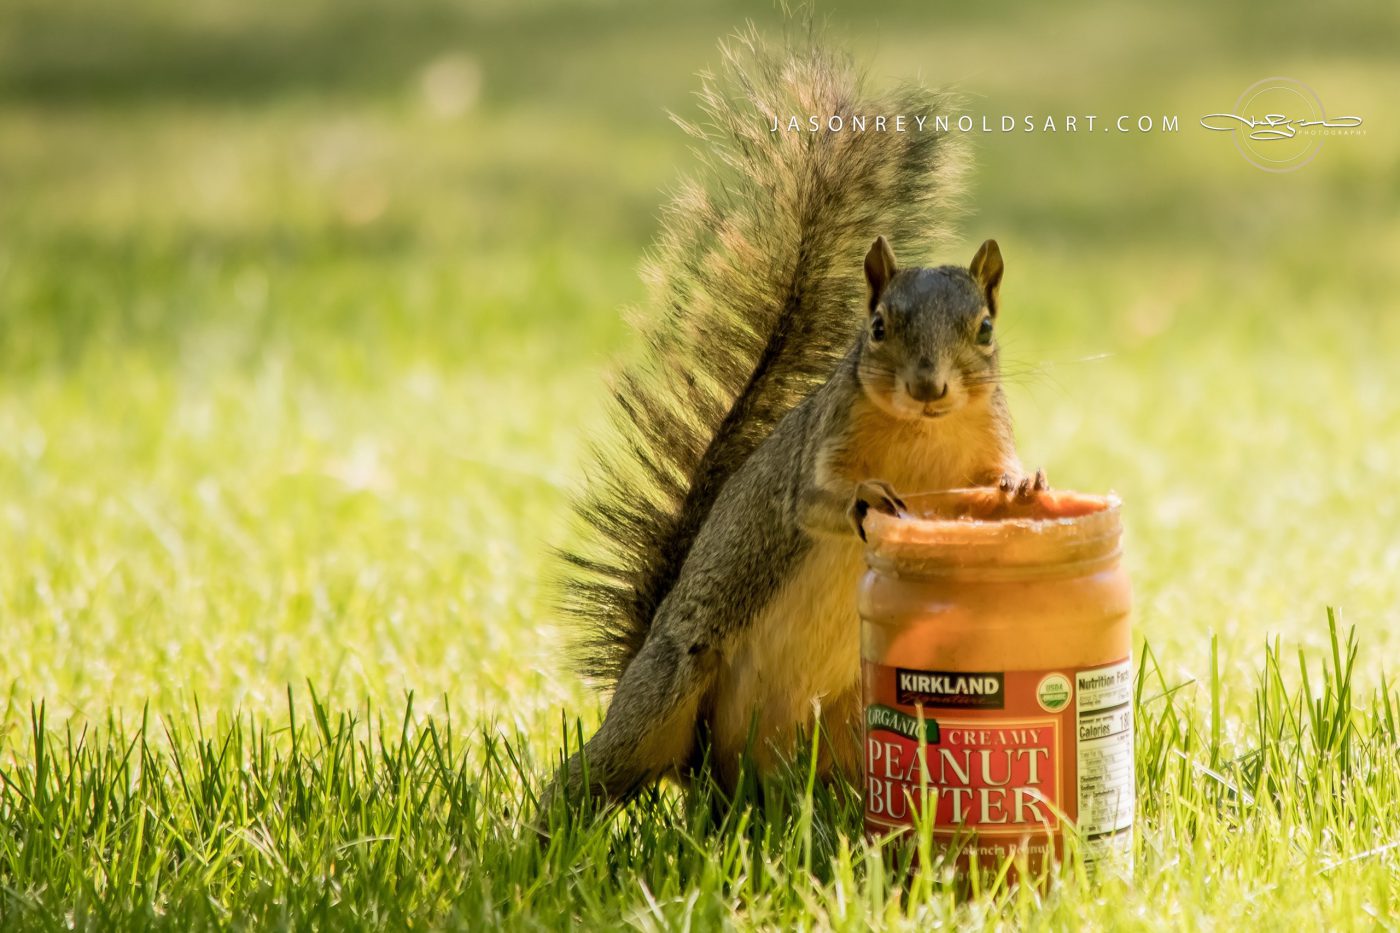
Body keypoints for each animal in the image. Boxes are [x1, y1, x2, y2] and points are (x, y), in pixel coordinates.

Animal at [541, 29, 1042, 818]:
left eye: (985, 329)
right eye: (877, 326)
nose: (930, 386)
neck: (922, 436)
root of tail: (717, 772)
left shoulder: (987, 438)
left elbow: (1000, 471)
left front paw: (1024, 487)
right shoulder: (823, 445)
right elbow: (812, 501)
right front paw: (869, 499)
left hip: (846, 724)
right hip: (667, 689)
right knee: (599, 771)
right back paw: (538, 828)